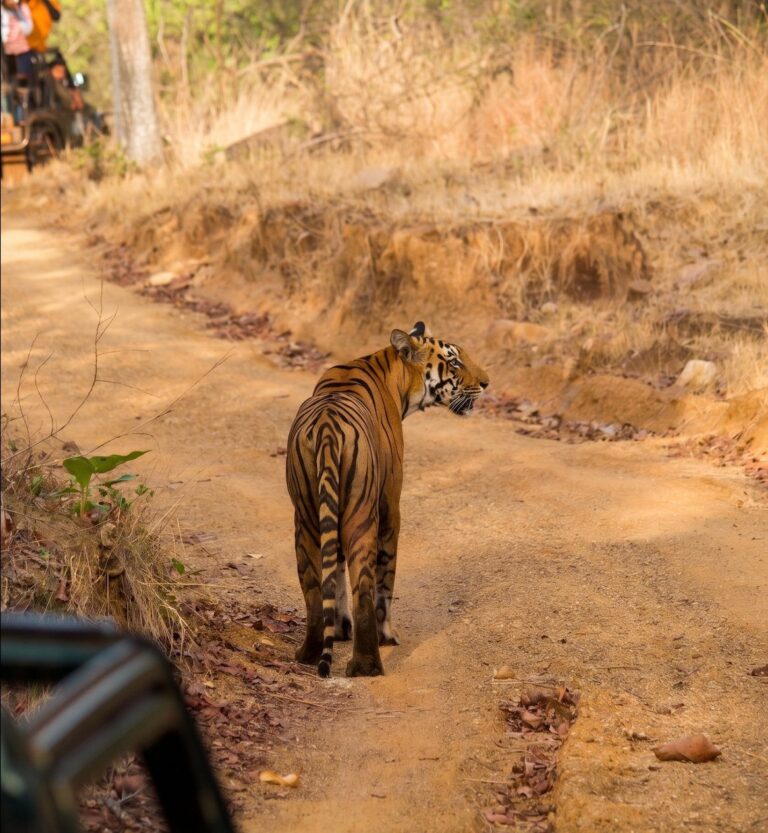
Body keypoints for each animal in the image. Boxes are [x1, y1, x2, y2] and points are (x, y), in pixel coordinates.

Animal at [285, 322, 489, 678]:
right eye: (455, 363)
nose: (487, 383)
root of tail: (326, 428)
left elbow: (335, 573)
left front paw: (340, 629)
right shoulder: (391, 502)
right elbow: (386, 578)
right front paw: (387, 637)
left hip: (306, 517)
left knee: (312, 586)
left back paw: (309, 653)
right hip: (361, 513)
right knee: (366, 588)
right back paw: (367, 664)